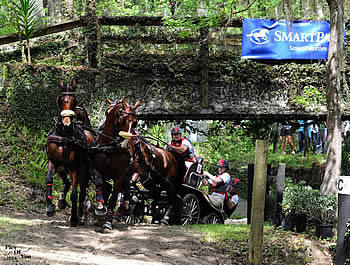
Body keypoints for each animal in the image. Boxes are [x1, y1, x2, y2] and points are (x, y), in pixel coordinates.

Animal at [44, 80, 95, 225]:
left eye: (74, 100)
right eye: (61, 100)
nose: (67, 123)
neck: (64, 136)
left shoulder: (74, 167)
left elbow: (74, 194)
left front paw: (73, 218)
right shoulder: (54, 162)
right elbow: (50, 179)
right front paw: (51, 206)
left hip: (84, 170)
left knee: (82, 193)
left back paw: (79, 216)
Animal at [93, 96, 142, 228]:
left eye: (135, 122)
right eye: (122, 119)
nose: (124, 144)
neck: (109, 146)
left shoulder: (119, 175)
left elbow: (114, 196)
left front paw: (107, 222)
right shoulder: (97, 169)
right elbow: (100, 185)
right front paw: (100, 208)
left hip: (130, 171)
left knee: (126, 186)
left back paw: (124, 207)